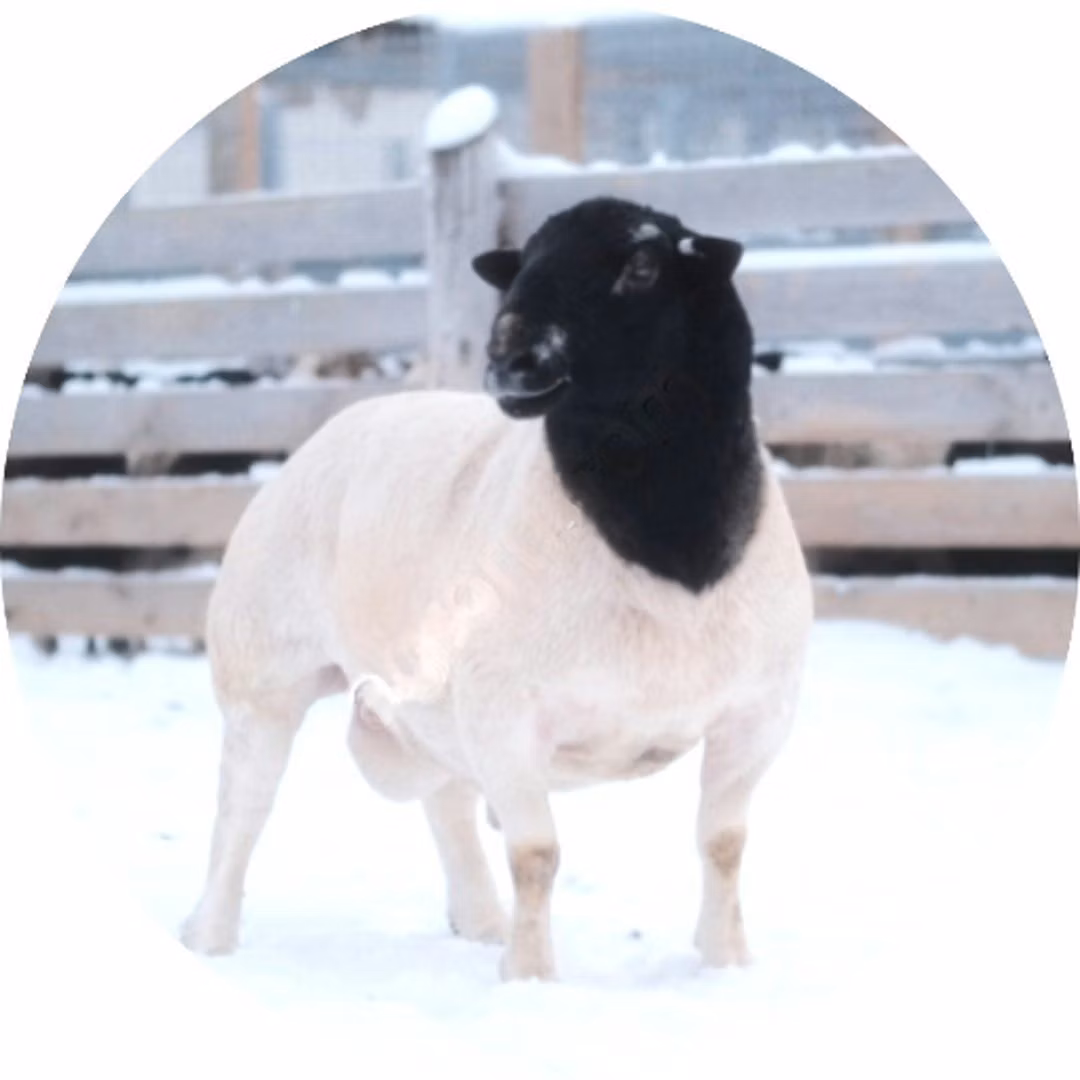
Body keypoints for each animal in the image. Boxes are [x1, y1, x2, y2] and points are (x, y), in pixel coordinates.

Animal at [180, 196, 813, 981]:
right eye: (524, 264)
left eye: (642, 266)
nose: (511, 359)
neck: (666, 541)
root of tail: (346, 421)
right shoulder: (505, 712)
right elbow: (536, 855)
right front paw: (531, 977)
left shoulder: (757, 715)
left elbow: (722, 846)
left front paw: (726, 962)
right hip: (262, 676)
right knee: (242, 810)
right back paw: (210, 937)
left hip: (427, 703)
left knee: (447, 800)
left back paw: (481, 922)